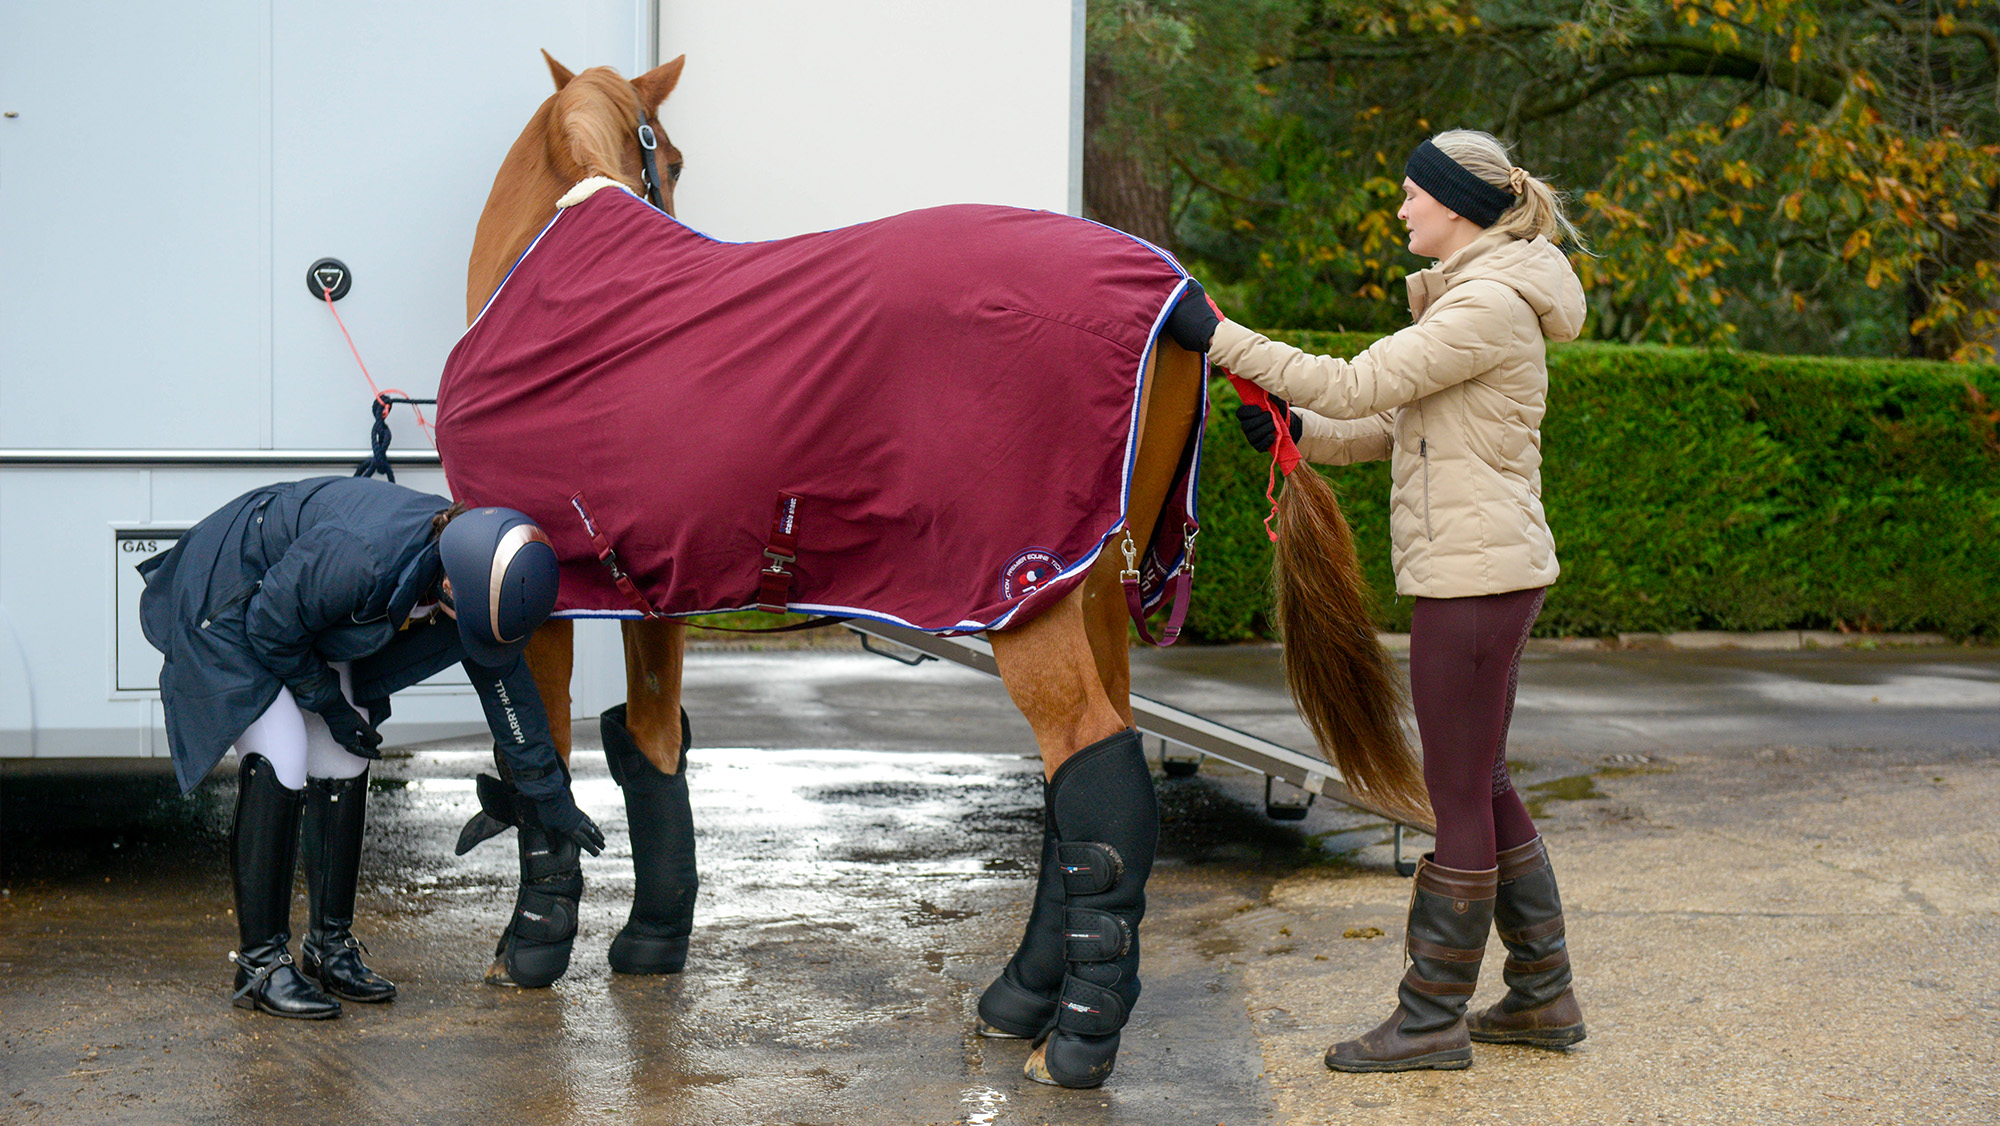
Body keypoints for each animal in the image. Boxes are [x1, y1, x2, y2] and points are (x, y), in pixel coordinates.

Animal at [444, 51, 1414, 1090]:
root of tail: (1182, 294)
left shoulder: (531, 600)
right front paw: (652, 941)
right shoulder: (655, 591)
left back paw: (1075, 1044)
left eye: (674, 159)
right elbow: (652, 746)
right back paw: (1021, 1001)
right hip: (1082, 583)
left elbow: (539, 758)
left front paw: (530, 947)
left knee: (1090, 763)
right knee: (1079, 786)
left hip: (1023, 591)